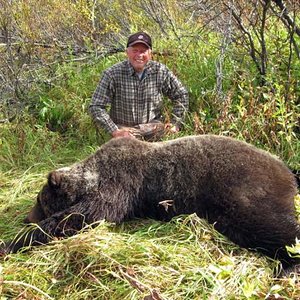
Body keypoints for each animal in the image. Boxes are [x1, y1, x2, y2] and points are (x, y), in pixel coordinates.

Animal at [1, 136, 298, 274]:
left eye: (39, 200)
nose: (26, 217)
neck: (91, 174)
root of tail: (285, 168)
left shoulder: (119, 182)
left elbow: (85, 215)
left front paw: (11, 242)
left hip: (240, 191)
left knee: (267, 225)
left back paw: (288, 266)